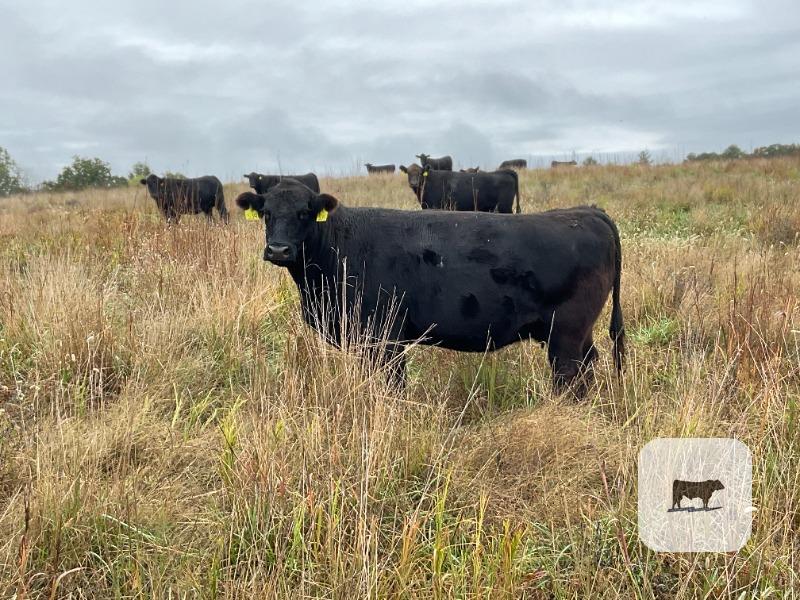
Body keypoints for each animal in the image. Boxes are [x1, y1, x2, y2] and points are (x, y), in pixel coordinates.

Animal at [234, 179, 624, 392]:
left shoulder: (384, 338)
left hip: (566, 333)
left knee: (571, 376)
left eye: (304, 213)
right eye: (266, 213)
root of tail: (586, 212)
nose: (279, 249)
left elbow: (392, 386)